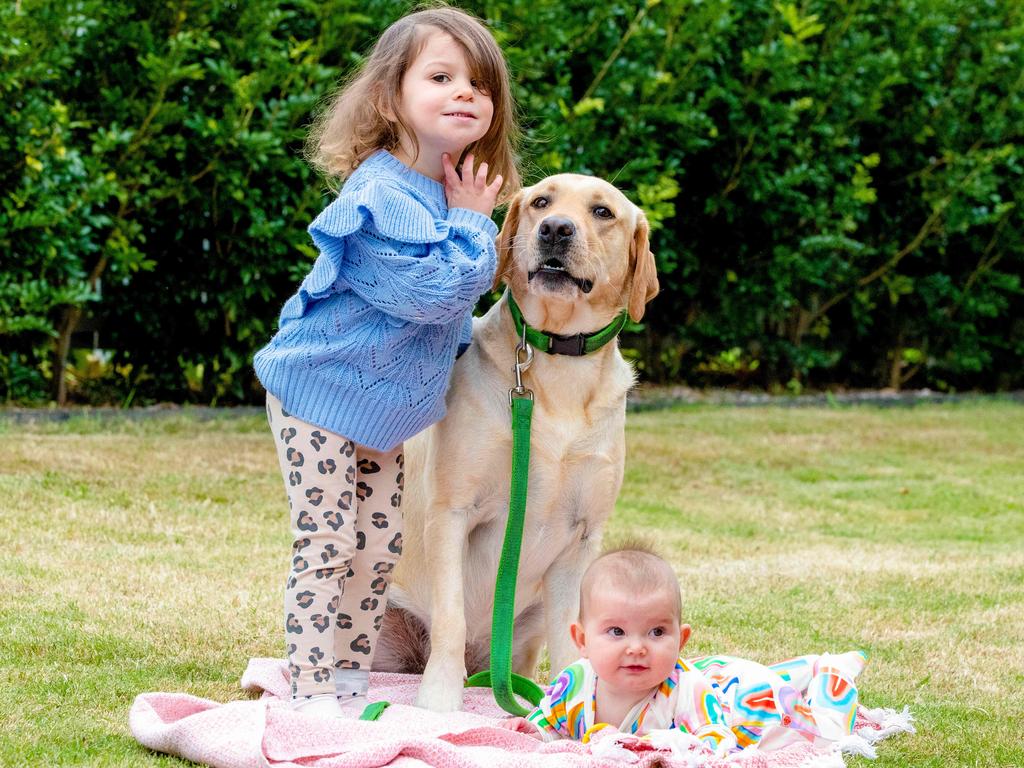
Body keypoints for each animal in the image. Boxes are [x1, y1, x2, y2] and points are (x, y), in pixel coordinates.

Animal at [372, 176, 659, 716]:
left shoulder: (582, 538)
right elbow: (451, 617)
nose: (555, 230)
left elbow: (573, 639)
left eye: (603, 212)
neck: (559, 369)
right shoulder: (452, 511)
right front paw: (438, 703)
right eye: (541, 202)